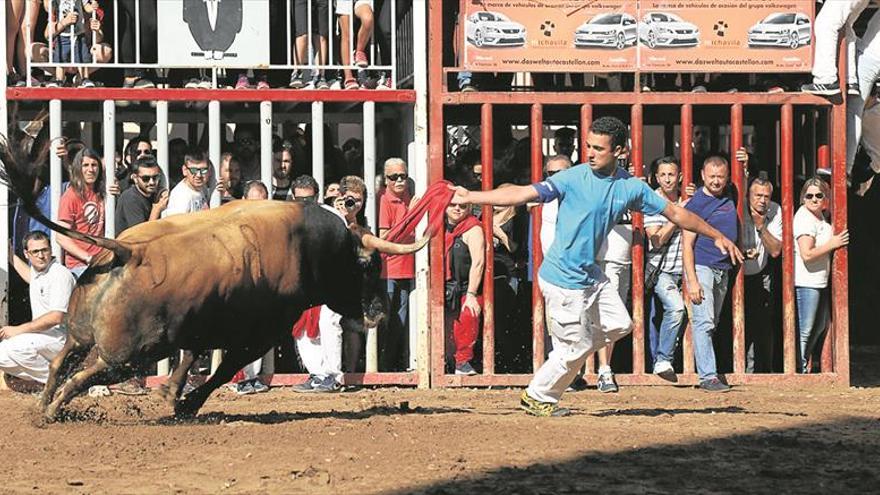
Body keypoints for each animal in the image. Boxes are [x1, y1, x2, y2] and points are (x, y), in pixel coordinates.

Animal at [0, 137, 426, 422]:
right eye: (369, 266)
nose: (379, 314)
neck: (311, 248)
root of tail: (128, 251)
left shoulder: (200, 327)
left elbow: (191, 359)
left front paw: (173, 396)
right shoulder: (259, 334)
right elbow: (221, 370)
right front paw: (185, 402)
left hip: (82, 332)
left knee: (61, 363)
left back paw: (44, 405)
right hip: (131, 352)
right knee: (84, 374)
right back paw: (52, 411)